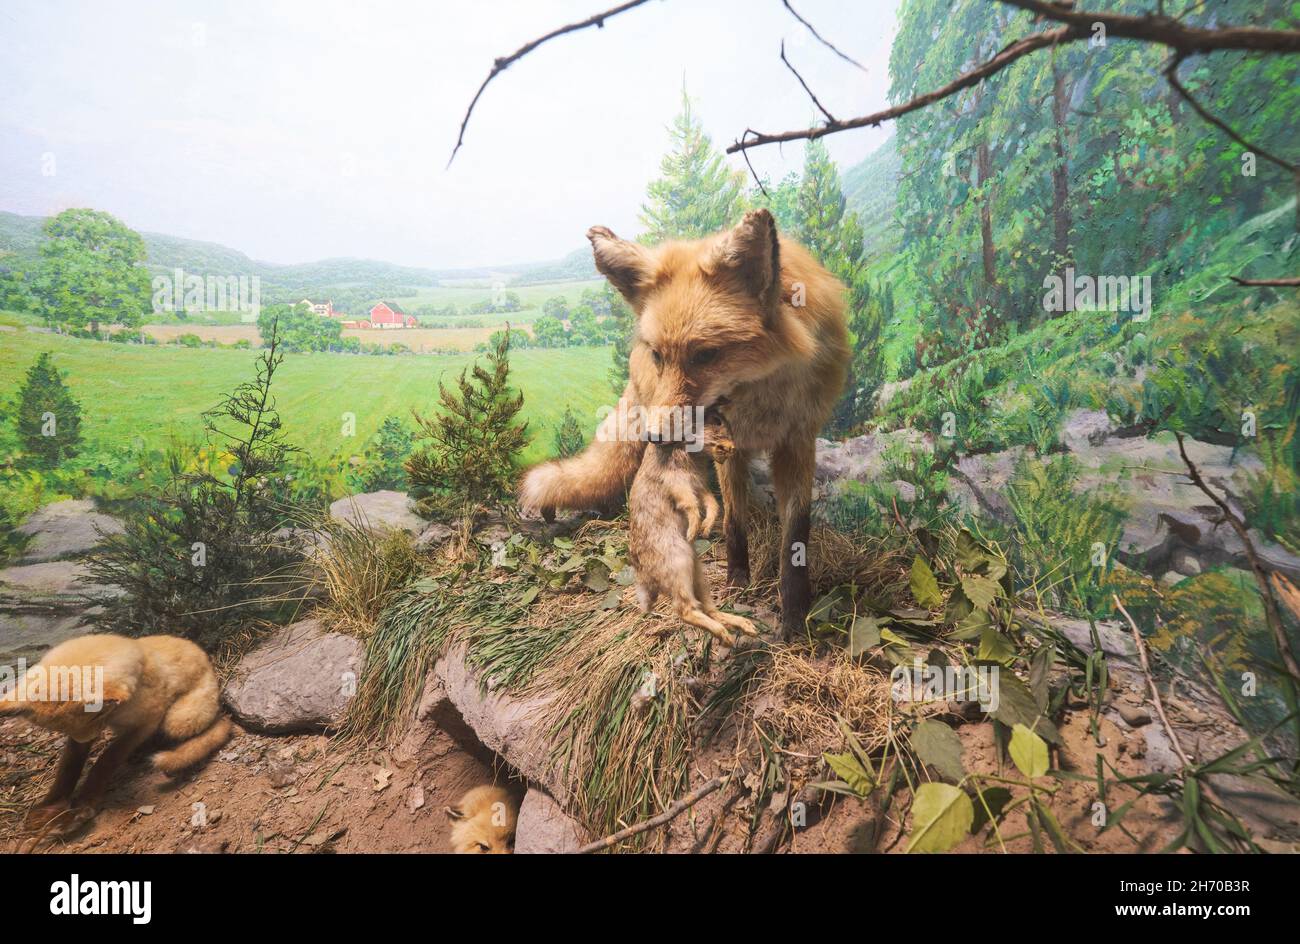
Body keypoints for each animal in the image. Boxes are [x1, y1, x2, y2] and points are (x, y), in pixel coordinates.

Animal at [0, 633, 234, 835]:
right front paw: (52, 807)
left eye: (94, 717)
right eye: (61, 729)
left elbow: (107, 759)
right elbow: (68, 766)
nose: (88, 738)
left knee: (215, 727)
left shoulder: (148, 719)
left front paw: (84, 804)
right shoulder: (84, 737)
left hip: (179, 719)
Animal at [629, 407, 757, 646]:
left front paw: (704, 528)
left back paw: (744, 627)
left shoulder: (699, 486)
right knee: (685, 610)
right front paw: (693, 530)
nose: (731, 447)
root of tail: (646, 582)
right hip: (678, 565)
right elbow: (690, 505)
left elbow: (711, 503)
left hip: (696, 572)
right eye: (716, 421)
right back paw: (726, 636)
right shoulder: (678, 483)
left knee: (708, 608)